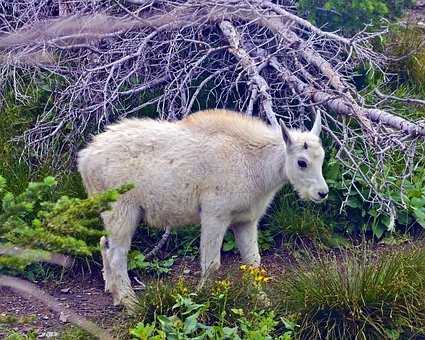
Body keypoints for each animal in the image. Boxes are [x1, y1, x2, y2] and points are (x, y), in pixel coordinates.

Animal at [77, 109, 328, 308]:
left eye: (322, 157)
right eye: (302, 162)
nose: (322, 193)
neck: (256, 164)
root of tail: (84, 159)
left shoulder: (245, 220)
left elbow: (253, 261)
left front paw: (262, 299)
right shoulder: (214, 215)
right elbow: (211, 263)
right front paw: (203, 298)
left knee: (104, 243)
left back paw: (112, 290)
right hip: (122, 210)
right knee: (117, 255)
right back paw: (130, 302)